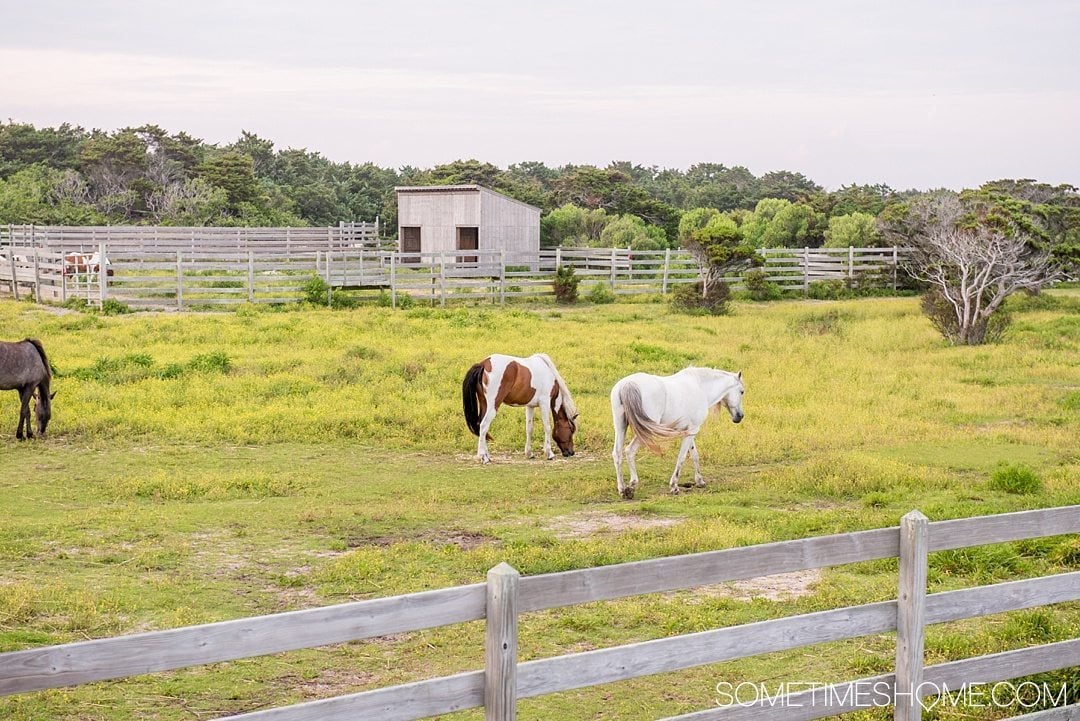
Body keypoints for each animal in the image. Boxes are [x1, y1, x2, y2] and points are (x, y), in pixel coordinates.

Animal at [613, 369, 747, 498]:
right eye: (742, 392)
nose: (740, 416)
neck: (700, 387)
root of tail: (628, 384)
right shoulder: (692, 430)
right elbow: (682, 457)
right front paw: (674, 486)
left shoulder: (690, 430)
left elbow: (694, 455)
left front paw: (700, 481)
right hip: (644, 431)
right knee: (629, 451)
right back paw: (631, 487)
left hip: (620, 427)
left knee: (617, 454)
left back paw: (622, 489)